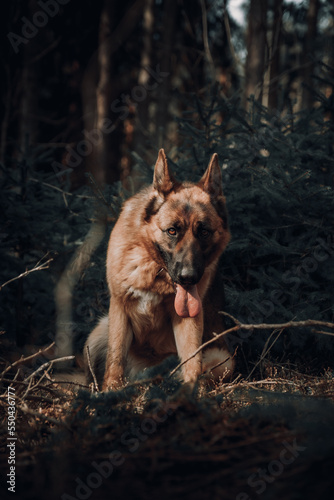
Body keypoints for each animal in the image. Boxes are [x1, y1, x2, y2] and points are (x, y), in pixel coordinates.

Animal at [84, 148, 235, 390]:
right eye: (172, 231)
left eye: (204, 232)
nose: (188, 277)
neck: (154, 270)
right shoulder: (119, 308)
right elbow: (115, 361)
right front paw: (111, 392)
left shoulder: (188, 320)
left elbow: (192, 362)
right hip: (99, 332)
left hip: (223, 360)